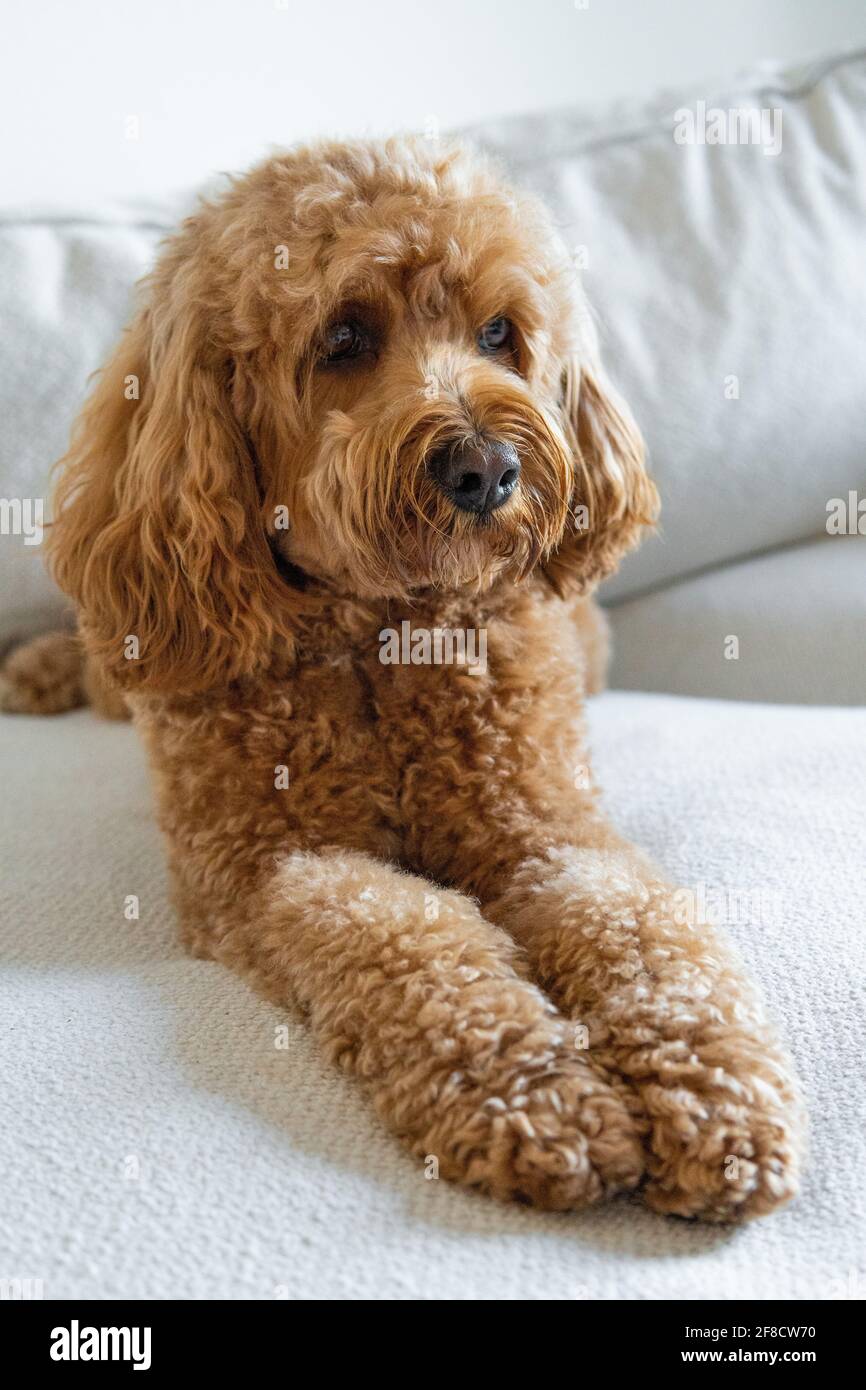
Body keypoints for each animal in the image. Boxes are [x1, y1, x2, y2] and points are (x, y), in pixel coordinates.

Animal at [3, 138, 811, 1217]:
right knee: (99, 649)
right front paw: (532, 1094)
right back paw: (39, 665)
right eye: (343, 337)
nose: (487, 467)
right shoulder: (274, 866)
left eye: (499, 332)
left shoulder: (546, 827)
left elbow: (638, 930)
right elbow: (407, 933)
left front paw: (714, 1089)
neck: (382, 635)